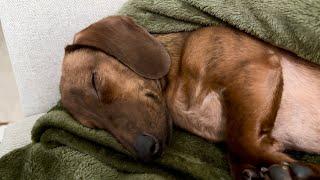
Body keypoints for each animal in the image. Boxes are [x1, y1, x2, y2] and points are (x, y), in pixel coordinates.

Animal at [60, 16, 320, 179]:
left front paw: (302, 170)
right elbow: (239, 149)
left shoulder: (253, 68)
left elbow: (242, 142)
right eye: (94, 125)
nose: (145, 151)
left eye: (95, 82)